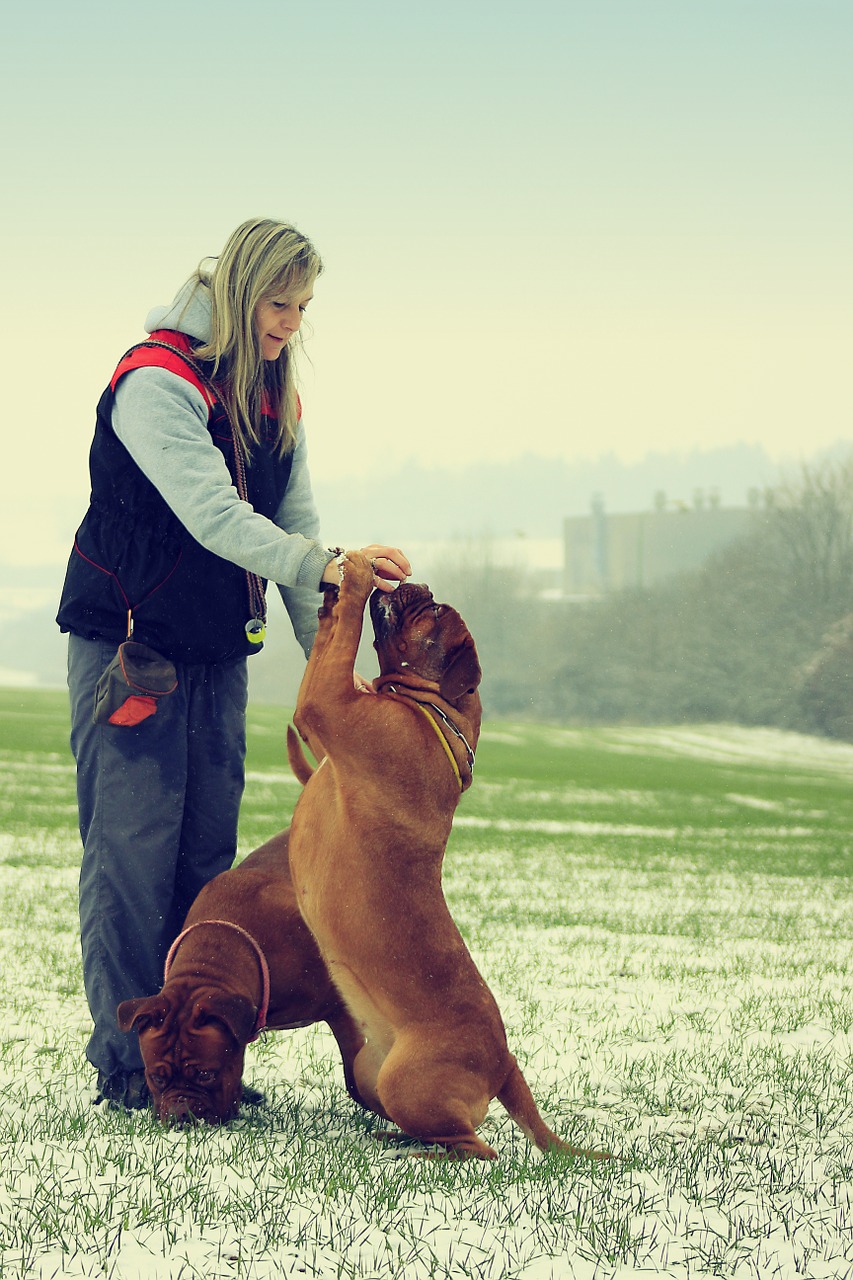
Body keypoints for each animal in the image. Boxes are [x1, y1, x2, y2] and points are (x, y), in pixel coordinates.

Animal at [285, 550, 604, 1162]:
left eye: (432, 611)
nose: (419, 583)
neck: (431, 708)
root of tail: (505, 1064)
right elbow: (330, 640)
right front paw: (333, 594)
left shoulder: (325, 704)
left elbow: (343, 640)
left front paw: (354, 578)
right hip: (370, 1069)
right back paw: (397, 1138)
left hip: (403, 1082)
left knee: (479, 1149)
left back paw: (417, 1152)